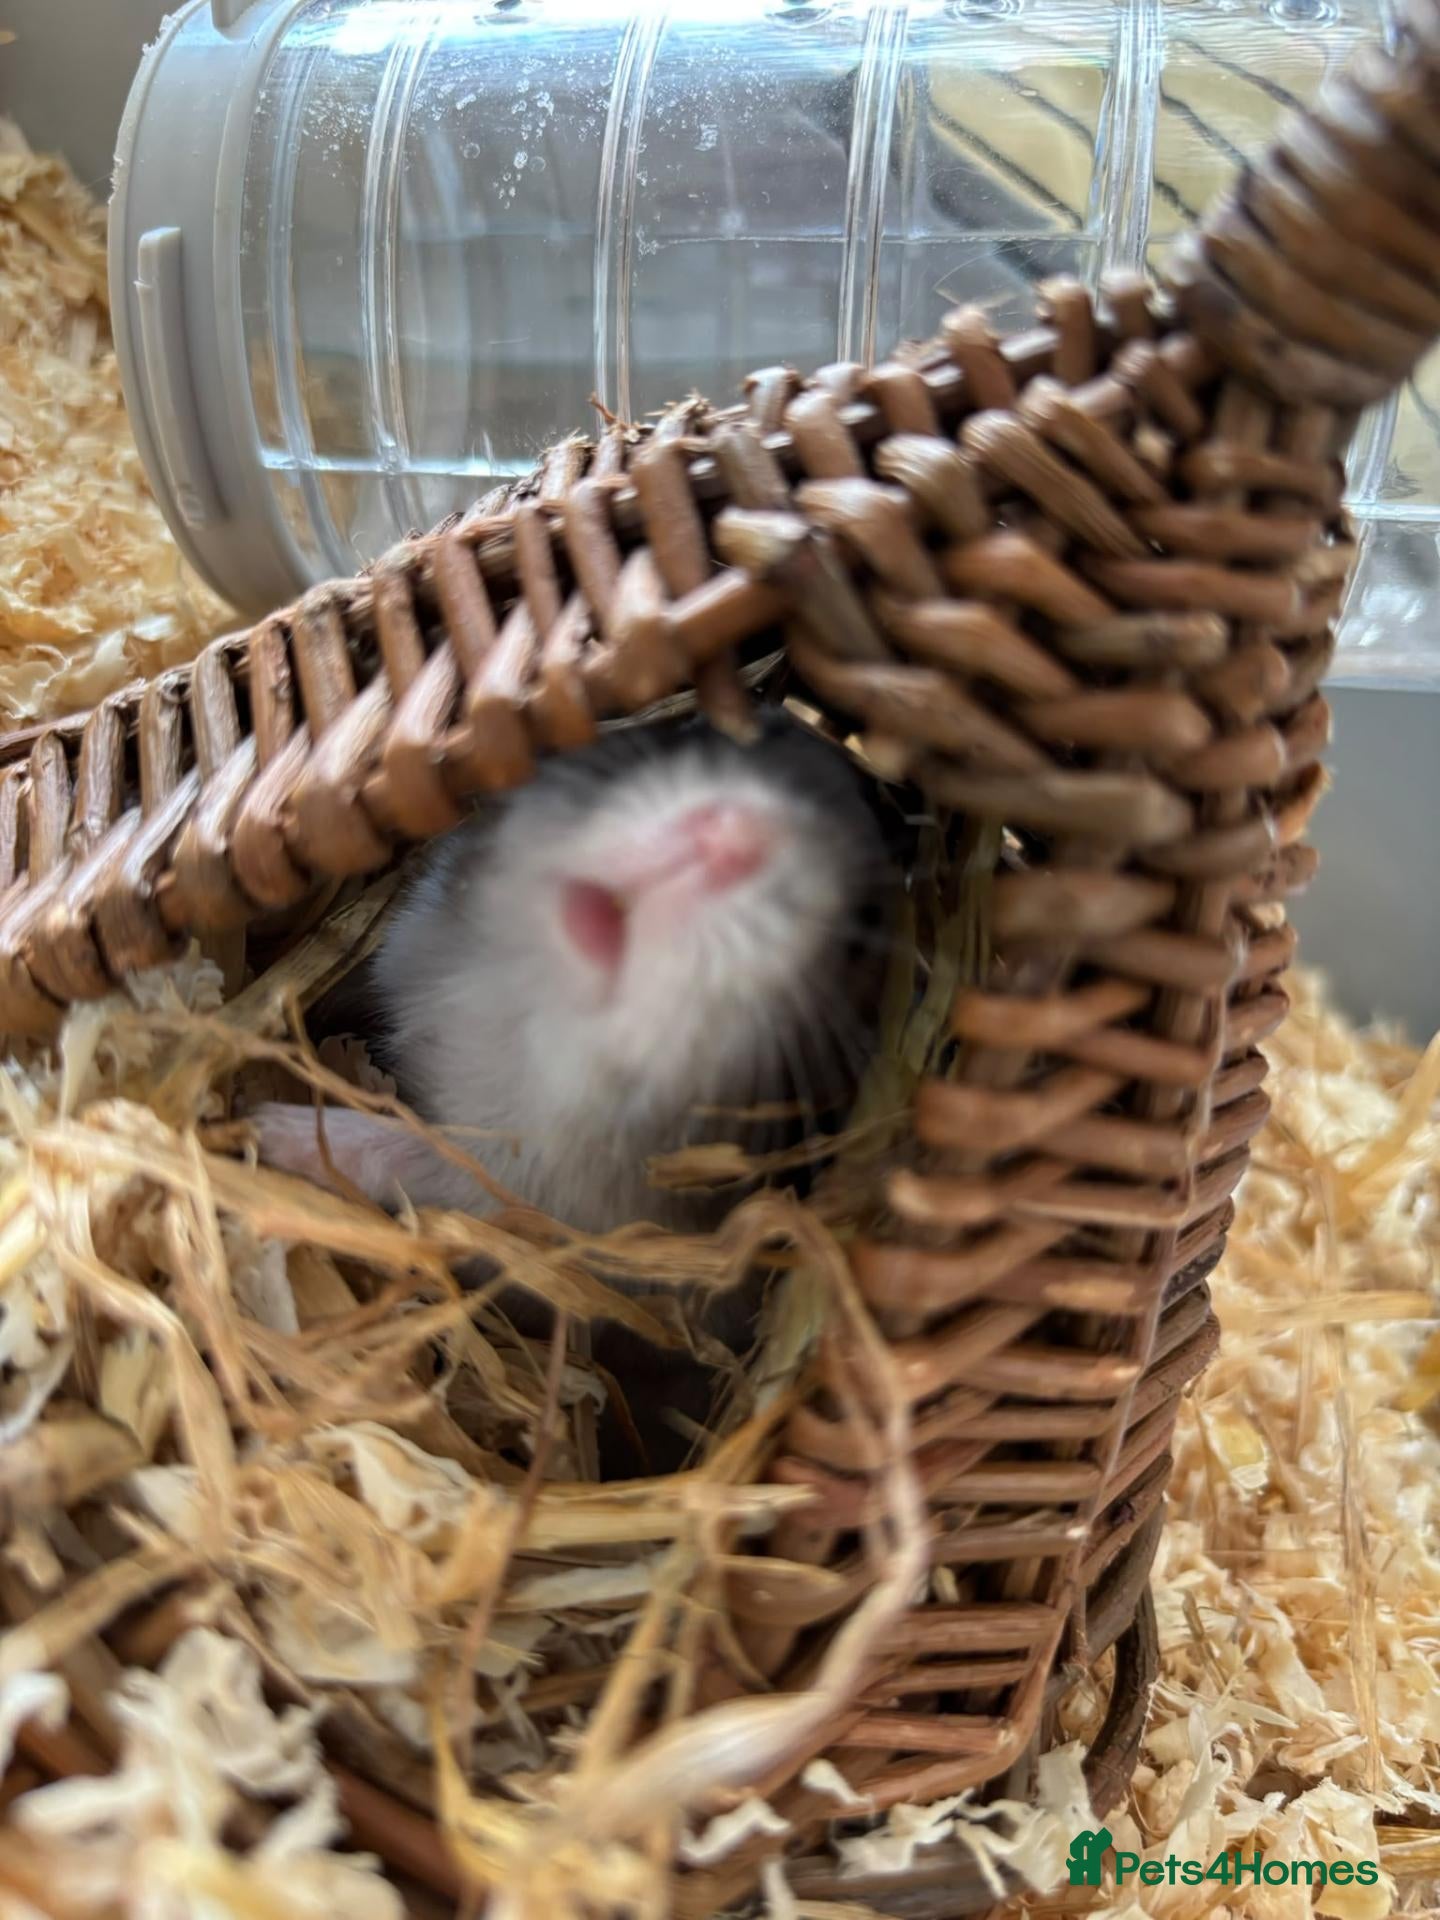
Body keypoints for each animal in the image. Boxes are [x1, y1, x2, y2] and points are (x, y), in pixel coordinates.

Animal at [252, 710, 896, 1250]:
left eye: (864, 930)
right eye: (688, 727)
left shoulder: (511, 1183)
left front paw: (264, 1125)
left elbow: (407, 1151)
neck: (527, 1023)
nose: (732, 837)